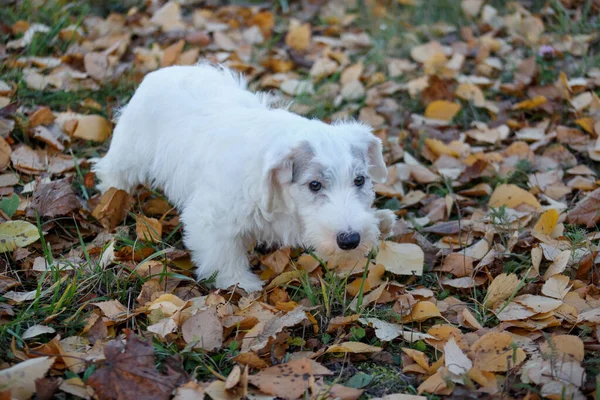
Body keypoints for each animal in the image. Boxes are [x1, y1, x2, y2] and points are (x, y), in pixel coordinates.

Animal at [92, 63, 394, 294]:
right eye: (315, 185)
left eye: (360, 181)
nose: (350, 240)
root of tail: (165, 71)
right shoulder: (211, 218)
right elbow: (223, 254)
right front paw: (240, 284)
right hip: (131, 150)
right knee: (113, 171)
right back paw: (113, 200)